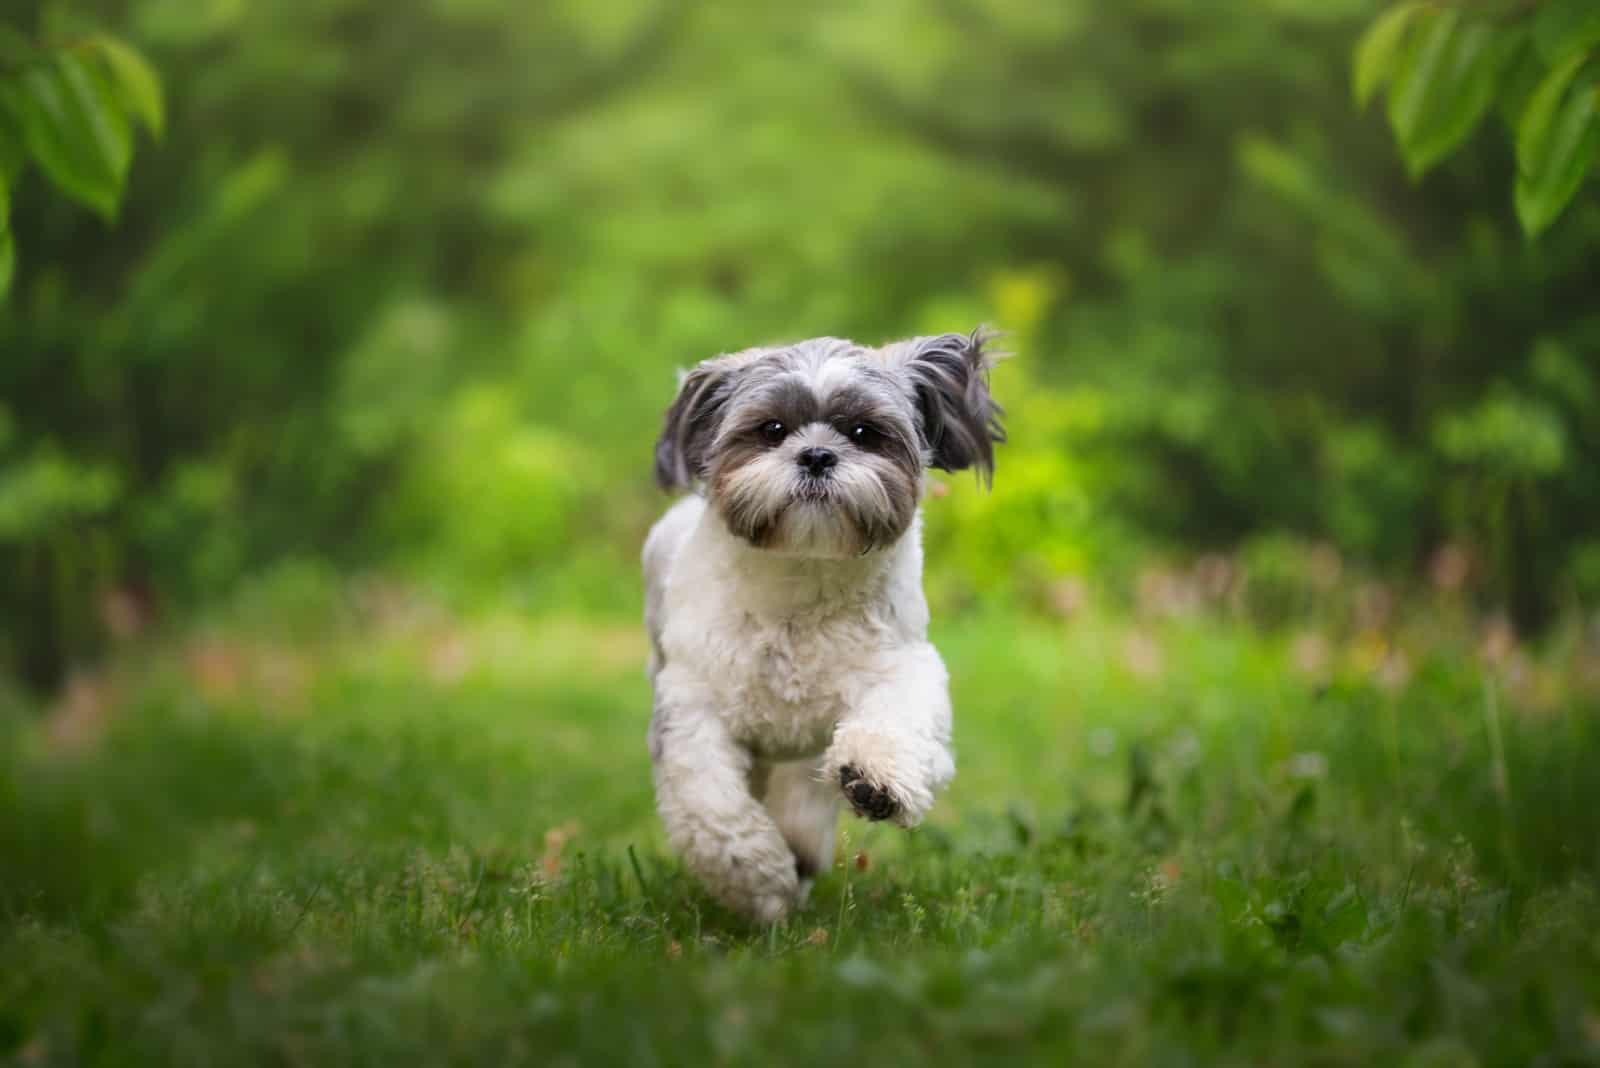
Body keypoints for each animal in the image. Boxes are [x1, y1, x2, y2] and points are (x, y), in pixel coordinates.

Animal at [640, 329, 998, 920]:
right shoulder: (692, 707)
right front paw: (759, 878)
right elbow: (713, 807)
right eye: (772, 430)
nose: (816, 455)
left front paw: (875, 780)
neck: (802, 583)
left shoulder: (904, 668)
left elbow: (896, 723)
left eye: (863, 433)